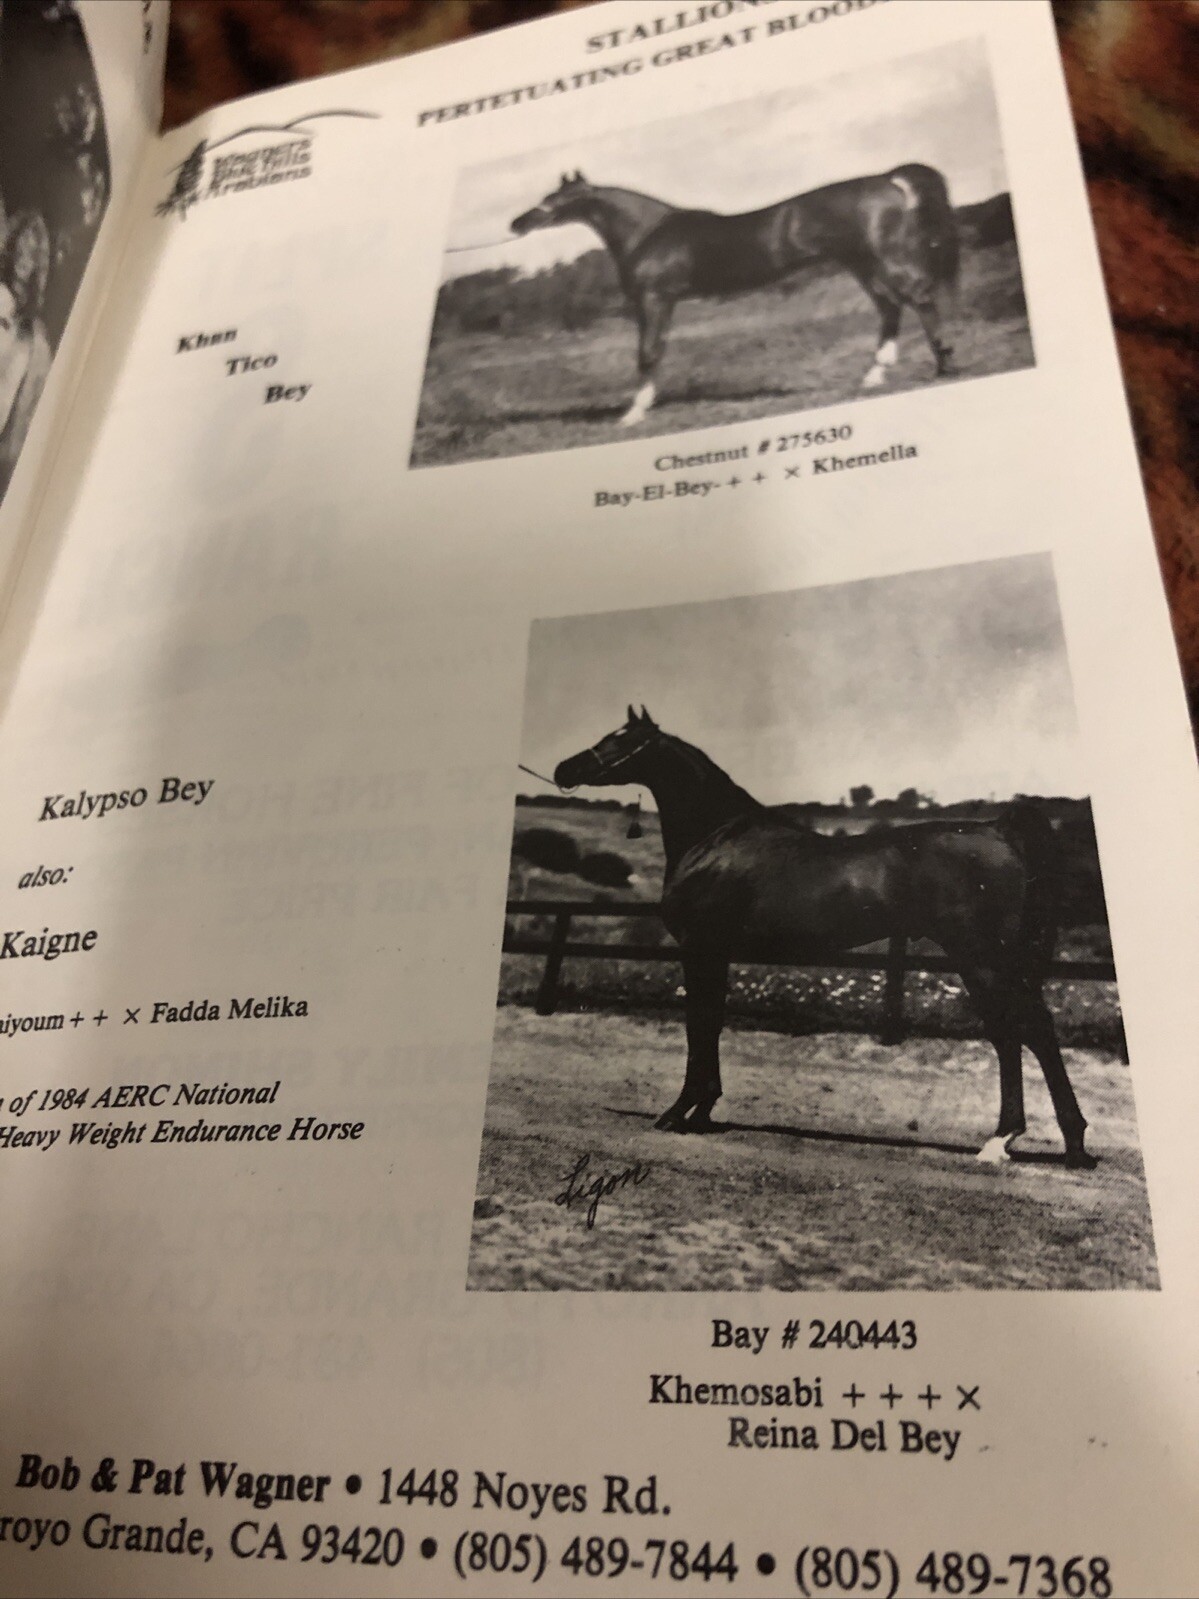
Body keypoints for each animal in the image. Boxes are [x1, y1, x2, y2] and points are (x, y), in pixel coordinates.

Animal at [511, 167, 959, 426]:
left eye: (555, 200)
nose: (517, 223)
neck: (649, 232)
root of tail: (888, 181)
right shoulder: (657, 304)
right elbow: (654, 351)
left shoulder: (655, 300)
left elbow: (648, 353)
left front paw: (634, 413)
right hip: (861, 265)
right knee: (890, 309)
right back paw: (874, 375)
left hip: (883, 259)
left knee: (919, 299)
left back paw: (944, 366)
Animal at [553, 708, 1096, 1170]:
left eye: (622, 742)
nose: (564, 768)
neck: (717, 840)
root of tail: (998, 831)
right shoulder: (718, 955)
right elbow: (712, 1024)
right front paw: (703, 1110)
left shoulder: (700, 950)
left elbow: (698, 1026)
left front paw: (677, 1112)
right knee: (1016, 1033)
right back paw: (1028, 1140)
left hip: (983, 960)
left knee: (1026, 1030)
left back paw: (1030, 1142)